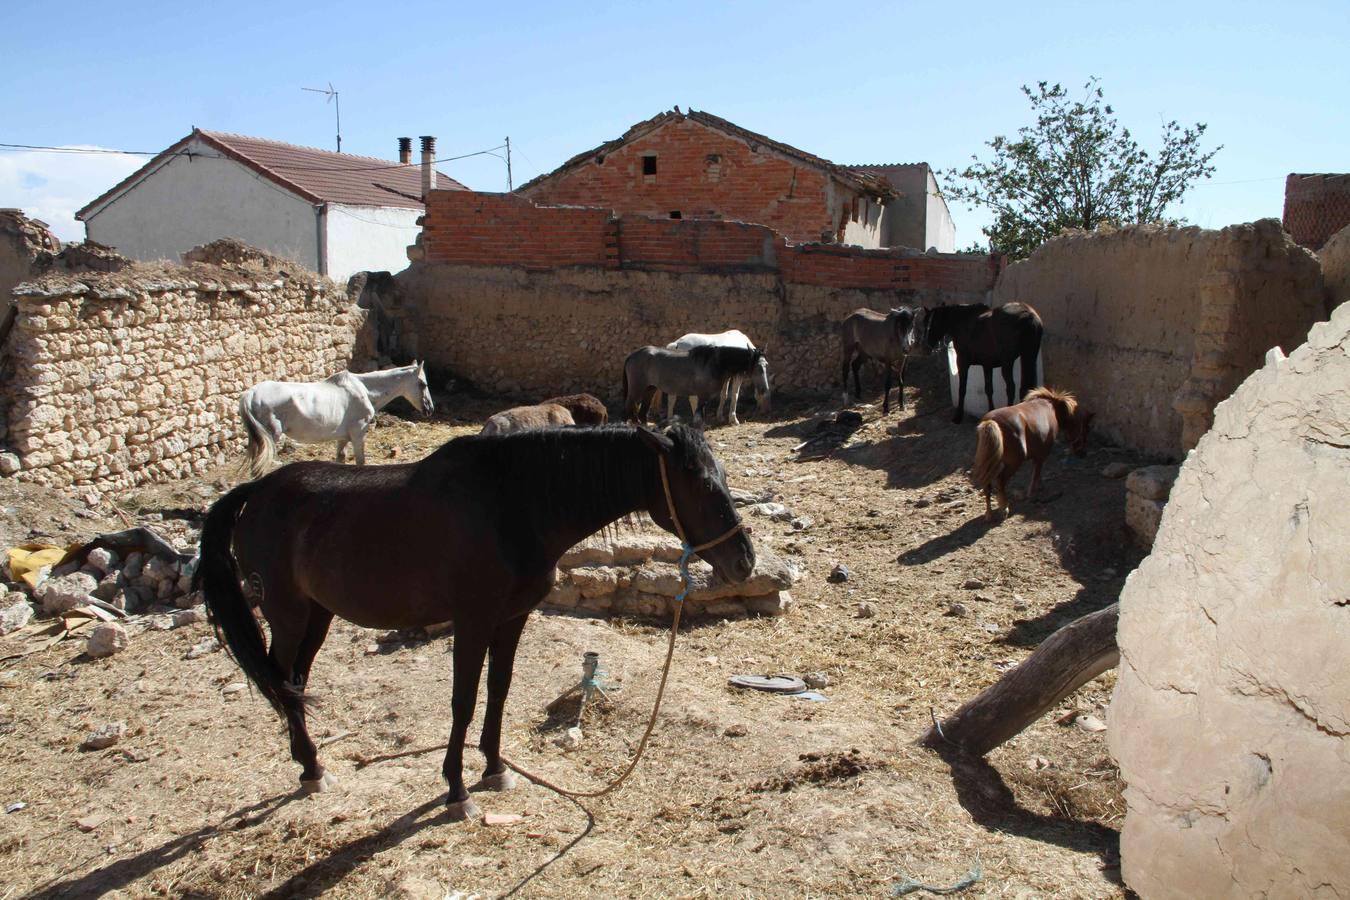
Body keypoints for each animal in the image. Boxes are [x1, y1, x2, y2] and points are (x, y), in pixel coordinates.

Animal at [195, 426, 756, 820]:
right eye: (704, 484)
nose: (744, 562)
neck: (512, 506)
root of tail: (255, 491)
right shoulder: (472, 619)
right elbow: (463, 700)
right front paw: (457, 789)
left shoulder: (512, 618)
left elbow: (499, 689)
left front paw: (495, 767)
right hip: (288, 614)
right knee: (281, 678)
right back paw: (311, 766)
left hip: (318, 614)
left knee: (292, 681)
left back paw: (310, 766)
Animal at [237, 361, 432, 477]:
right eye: (423, 384)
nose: (429, 409)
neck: (364, 390)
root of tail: (250, 394)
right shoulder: (358, 433)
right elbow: (361, 461)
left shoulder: (343, 437)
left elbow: (341, 459)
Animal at [623, 348, 766, 429]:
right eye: (759, 367)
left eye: (766, 365)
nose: (764, 389)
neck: (714, 362)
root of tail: (632, 355)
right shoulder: (703, 396)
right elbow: (699, 419)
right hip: (637, 390)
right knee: (630, 409)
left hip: (650, 389)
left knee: (642, 413)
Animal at [966, 388, 1090, 520]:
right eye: (1082, 428)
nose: (1083, 453)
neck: (1051, 408)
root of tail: (990, 422)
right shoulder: (1041, 454)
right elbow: (1036, 473)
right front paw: (1032, 493)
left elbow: (1036, 472)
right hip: (1013, 463)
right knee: (1000, 482)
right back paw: (1004, 509)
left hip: (990, 462)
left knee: (987, 485)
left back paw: (989, 514)